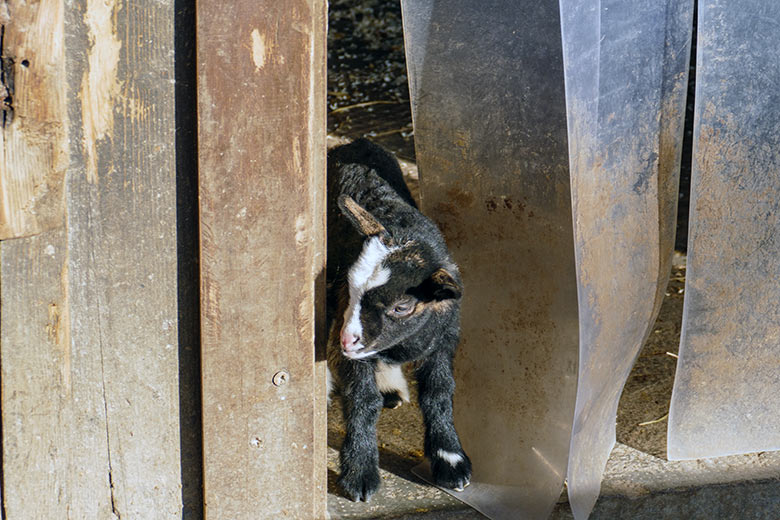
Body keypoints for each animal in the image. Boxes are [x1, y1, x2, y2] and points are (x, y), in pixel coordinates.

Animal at [328, 138, 472, 500]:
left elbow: (438, 391)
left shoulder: (444, 339)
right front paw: (360, 473)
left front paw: (450, 459)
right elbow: (362, 399)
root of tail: (353, 143)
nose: (347, 339)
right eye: (349, 286)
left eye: (402, 306)